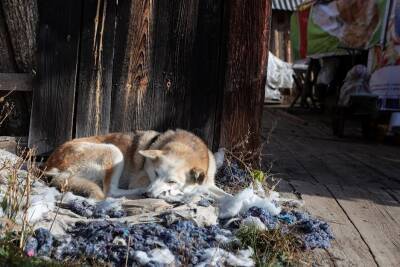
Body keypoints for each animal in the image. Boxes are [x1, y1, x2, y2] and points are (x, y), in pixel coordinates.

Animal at [45, 130, 227, 201]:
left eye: (172, 181)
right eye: (155, 173)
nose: (148, 194)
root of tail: (51, 165)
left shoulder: (209, 184)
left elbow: (226, 195)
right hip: (114, 151)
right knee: (111, 192)